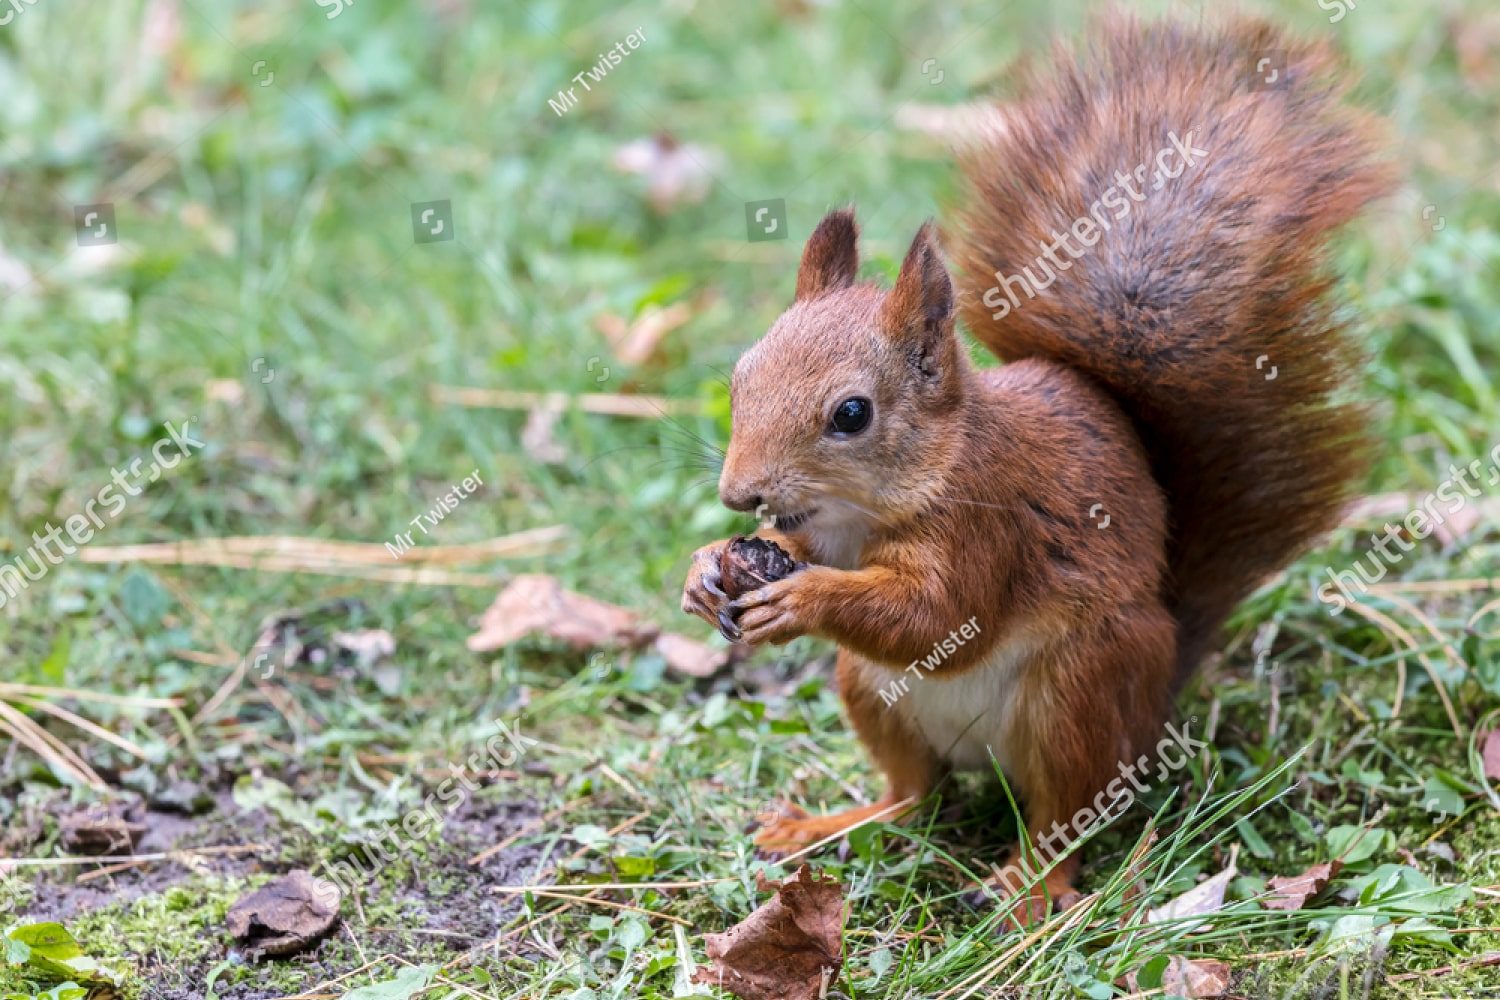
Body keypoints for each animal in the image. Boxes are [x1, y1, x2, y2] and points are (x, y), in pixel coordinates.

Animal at [681, 15, 1391, 923]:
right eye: (741, 375)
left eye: (852, 414)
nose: (739, 494)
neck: (870, 509)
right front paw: (708, 569)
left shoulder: (990, 525)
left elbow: (938, 618)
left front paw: (802, 599)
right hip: (871, 693)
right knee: (916, 794)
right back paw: (831, 824)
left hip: (1079, 691)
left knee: (1066, 815)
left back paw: (1030, 887)